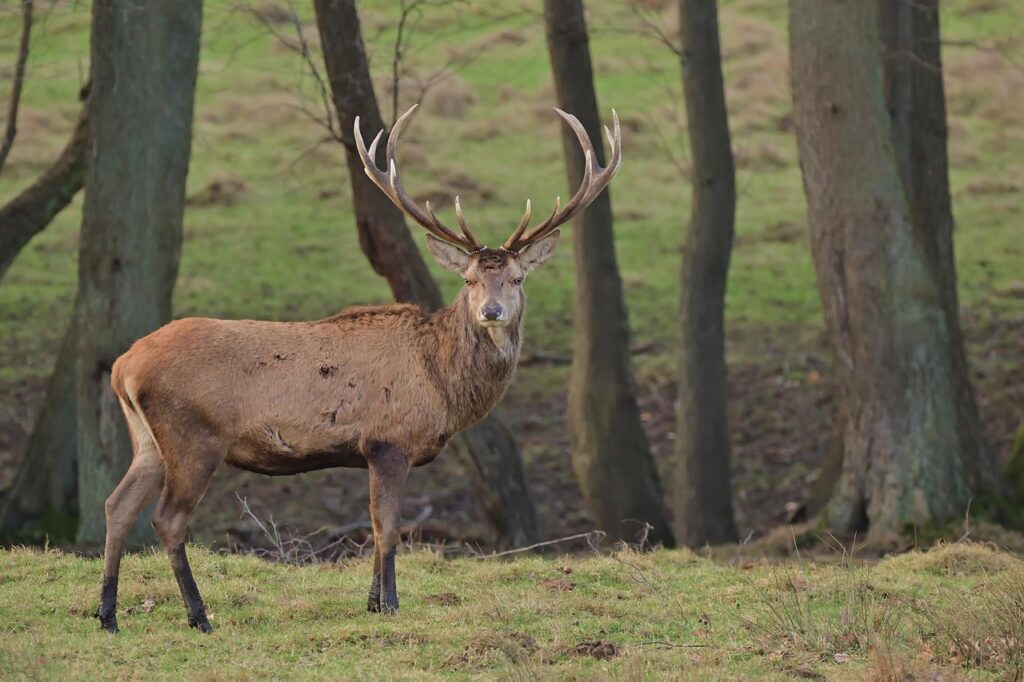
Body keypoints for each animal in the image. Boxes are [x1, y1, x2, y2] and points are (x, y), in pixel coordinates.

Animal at [93, 104, 621, 633]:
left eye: (516, 278)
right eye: (469, 280)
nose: (491, 312)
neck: (441, 384)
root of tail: (123, 366)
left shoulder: (370, 451)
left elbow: (372, 523)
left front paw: (370, 602)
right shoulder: (389, 440)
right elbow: (387, 527)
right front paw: (390, 604)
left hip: (148, 439)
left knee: (117, 504)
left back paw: (108, 614)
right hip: (193, 435)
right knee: (167, 518)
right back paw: (198, 615)